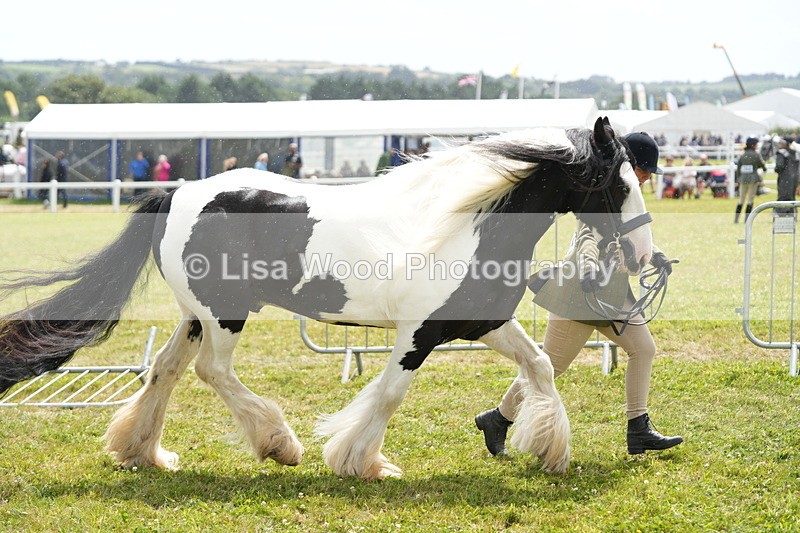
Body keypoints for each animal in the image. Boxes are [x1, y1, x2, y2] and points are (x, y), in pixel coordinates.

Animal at [0, 117, 652, 479]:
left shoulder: (482, 322)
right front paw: (360, 462)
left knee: (164, 370)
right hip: (224, 316)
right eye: (616, 183)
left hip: (193, 317)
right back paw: (278, 443)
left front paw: (549, 451)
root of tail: (176, 193)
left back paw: (143, 454)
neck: (470, 225)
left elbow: (540, 366)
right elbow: (388, 394)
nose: (643, 253)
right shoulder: (418, 334)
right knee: (213, 372)